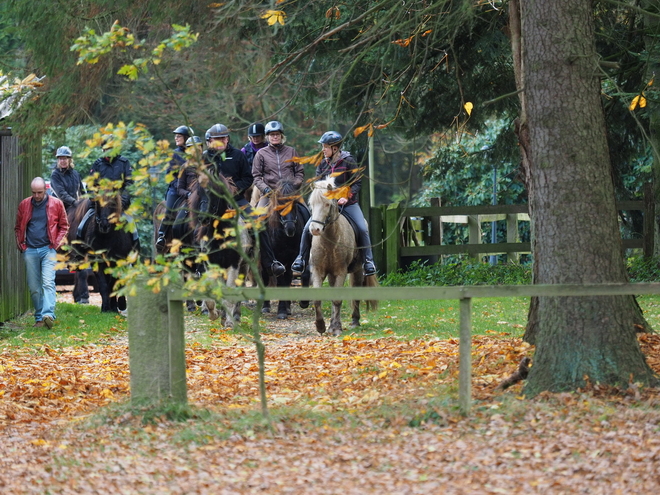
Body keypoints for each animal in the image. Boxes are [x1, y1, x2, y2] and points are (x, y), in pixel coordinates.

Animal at [260, 184, 310, 320]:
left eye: (295, 203)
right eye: (279, 204)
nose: (290, 228)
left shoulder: (294, 256)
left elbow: (289, 279)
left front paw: (285, 309)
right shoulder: (277, 258)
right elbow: (280, 280)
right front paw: (281, 311)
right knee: (265, 277)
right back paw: (265, 307)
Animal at [308, 176, 378, 336]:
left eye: (327, 204)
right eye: (311, 204)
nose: (315, 229)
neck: (329, 240)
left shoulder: (341, 271)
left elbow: (337, 300)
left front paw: (336, 328)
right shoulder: (318, 271)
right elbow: (317, 299)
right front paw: (321, 326)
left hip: (357, 271)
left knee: (356, 293)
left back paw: (354, 321)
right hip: (331, 274)